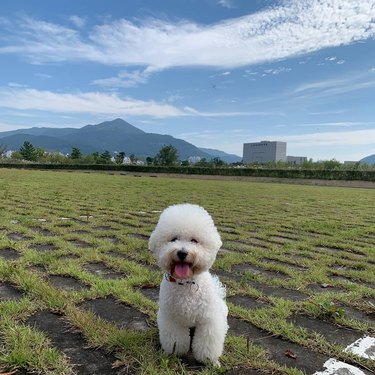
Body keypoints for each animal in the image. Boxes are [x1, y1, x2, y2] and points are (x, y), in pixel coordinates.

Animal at [148, 204, 228, 366]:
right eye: (173, 239)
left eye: (194, 240)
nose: (182, 252)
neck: (185, 283)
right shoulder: (172, 319)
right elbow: (176, 340)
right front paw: (174, 353)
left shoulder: (208, 321)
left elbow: (207, 345)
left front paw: (209, 361)